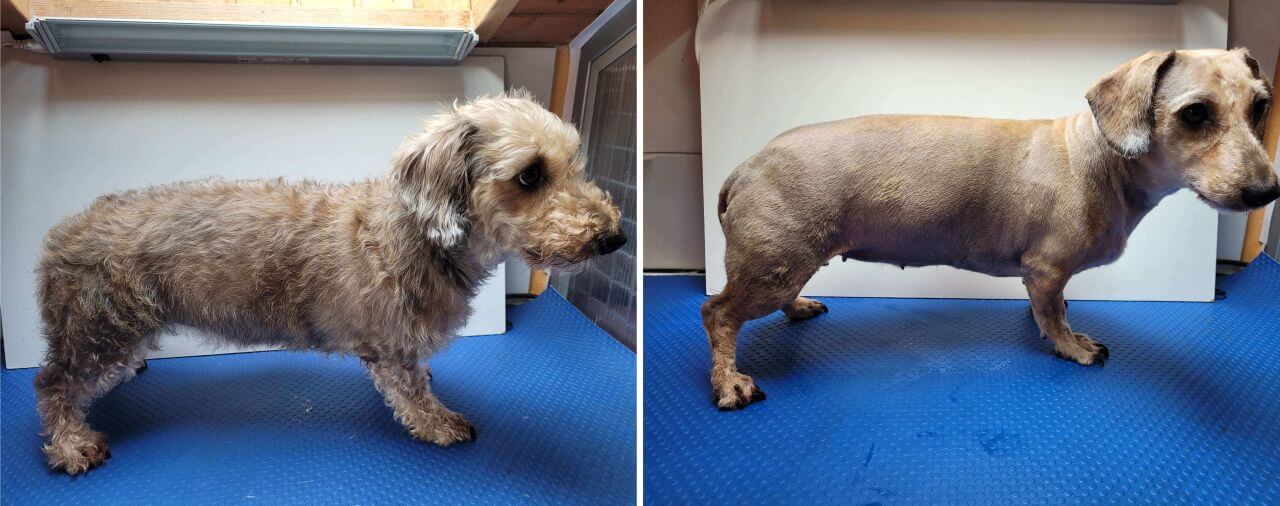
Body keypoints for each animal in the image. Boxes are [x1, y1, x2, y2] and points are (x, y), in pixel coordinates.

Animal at [33, 92, 626, 474]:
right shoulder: (393, 349)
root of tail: (63, 231)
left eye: (574, 164)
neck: (415, 233)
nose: (615, 238)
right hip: (100, 330)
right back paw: (70, 445)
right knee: (52, 386)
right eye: (530, 174)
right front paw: (437, 422)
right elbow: (411, 393)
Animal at [704, 48, 1277, 410]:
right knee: (719, 314)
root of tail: (746, 167)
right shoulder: (1046, 269)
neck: (1096, 159)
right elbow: (1055, 317)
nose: (1266, 193)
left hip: (785, 261)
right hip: (775, 264)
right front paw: (1071, 345)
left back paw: (798, 309)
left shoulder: (1043, 278)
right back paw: (729, 381)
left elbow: (1050, 307)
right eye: (1195, 113)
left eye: (1261, 105)